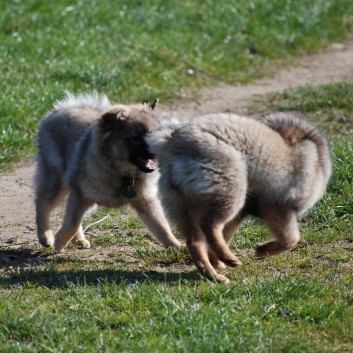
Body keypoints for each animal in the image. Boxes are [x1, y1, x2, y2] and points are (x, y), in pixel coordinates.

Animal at [34, 91, 180, 250]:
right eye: (136, 137)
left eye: (152, 134)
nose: (156, 150)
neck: (122, 174)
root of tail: (58, 110)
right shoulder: (81, 195)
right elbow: (72, 222)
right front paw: (59, 241)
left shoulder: (146, 201)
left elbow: (161, 226)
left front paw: (176, 246)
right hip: (56, 180)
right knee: (42, 203)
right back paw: (45, 236)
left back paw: (79, 240)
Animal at [148, 113, 330, 284]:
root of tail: (172, 143)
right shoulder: (279, 207)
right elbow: (291, 239)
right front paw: (261, 250)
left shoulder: (244, 212)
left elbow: (226, 235)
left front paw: (217, 262)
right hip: (231, 188)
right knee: (209, 225)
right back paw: (229, 260)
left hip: (185, 206)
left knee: (196, 241)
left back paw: (214, 275)